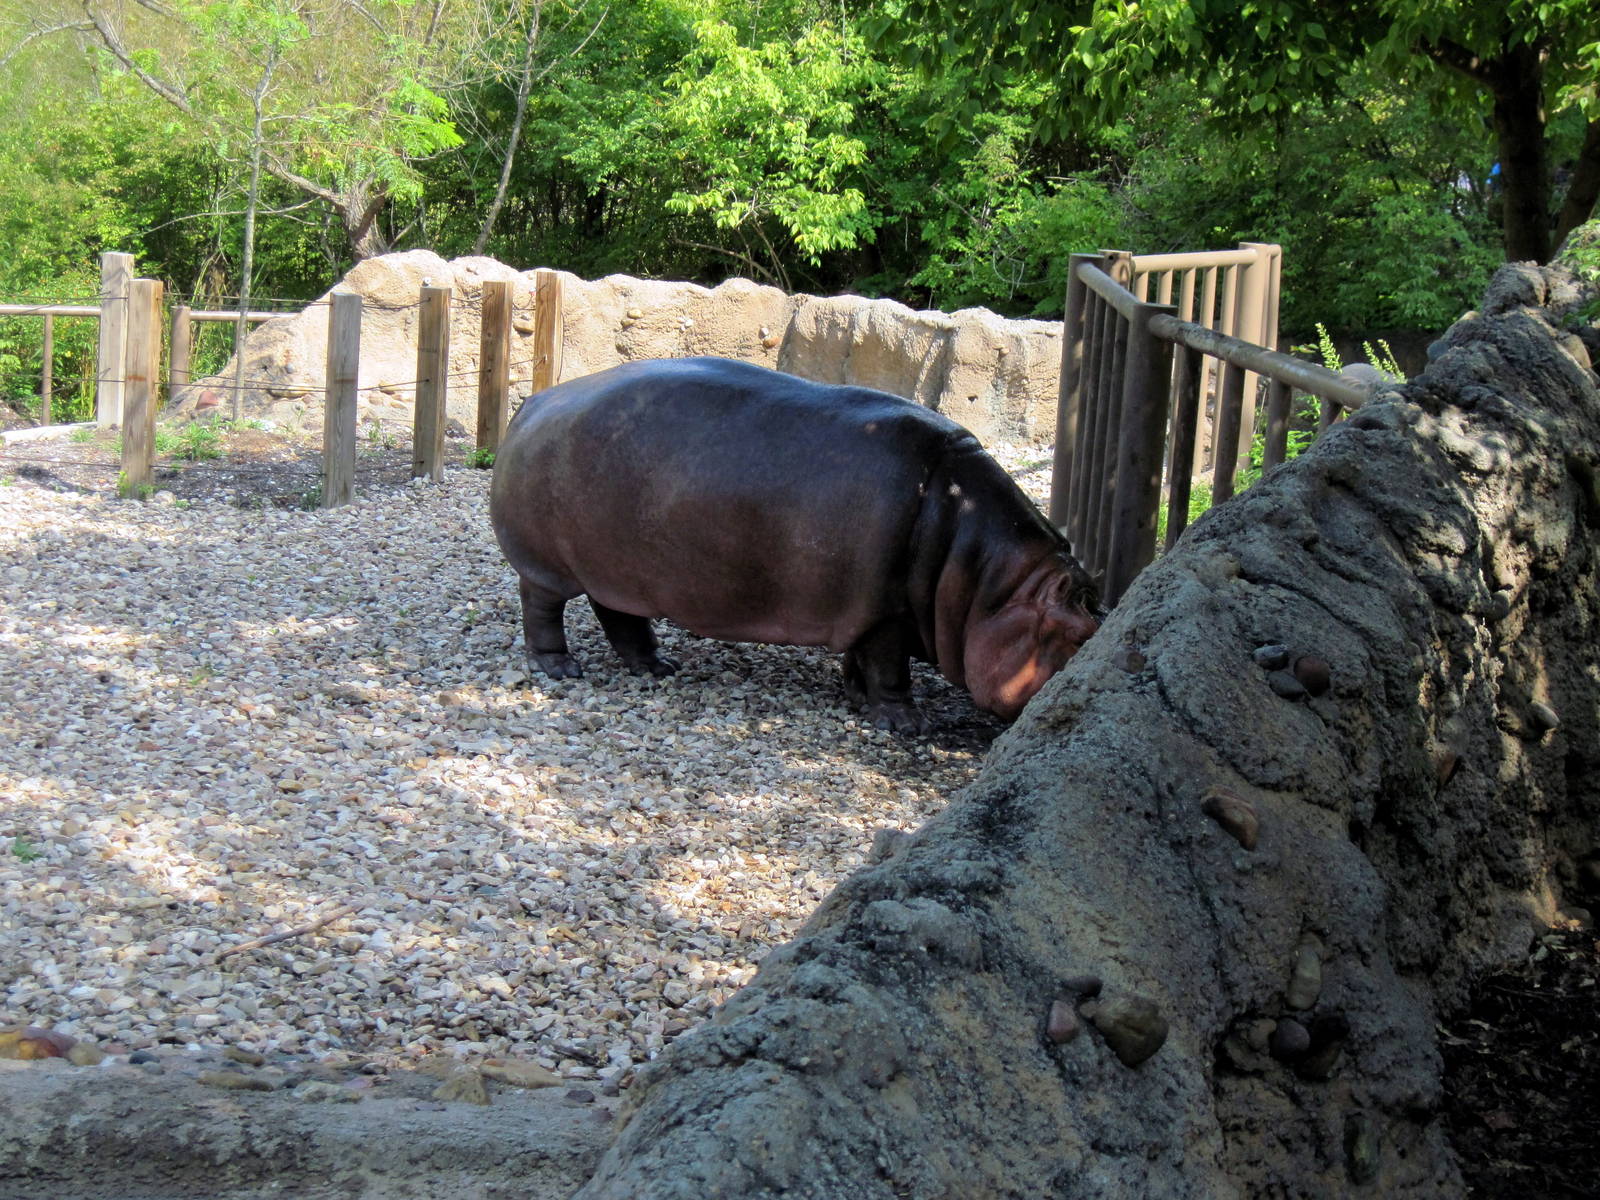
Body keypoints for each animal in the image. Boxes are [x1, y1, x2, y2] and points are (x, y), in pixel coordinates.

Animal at [489, 357, 1100, 732]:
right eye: (1078, 632)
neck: (988, 580)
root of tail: (535, 401)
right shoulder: (889, 613)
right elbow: (890, 668)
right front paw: (906, 724)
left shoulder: (870, 609)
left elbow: (863, 660)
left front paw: (856, 698)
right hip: (547, 566)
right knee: (542, 608)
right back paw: (560, 669)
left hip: (616, 568)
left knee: (618, 614)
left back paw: (658, 667)